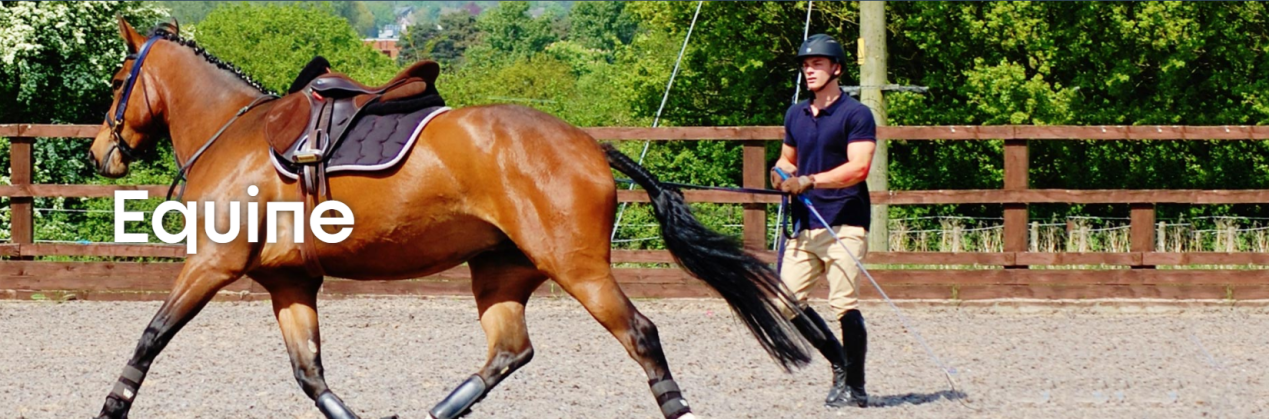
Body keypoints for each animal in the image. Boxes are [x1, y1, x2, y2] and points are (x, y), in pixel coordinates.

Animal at [86, 18, 812, 419]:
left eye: (119, 77)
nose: (101, 152)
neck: (236, 133)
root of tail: (585, 143)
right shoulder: (289, 282)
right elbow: (309, 371)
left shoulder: (212, 264)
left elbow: (150, 337)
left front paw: (112, 403)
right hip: (500, 270)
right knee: (510, 350)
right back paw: (440, 409)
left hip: (577, 268)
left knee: (639, 334)